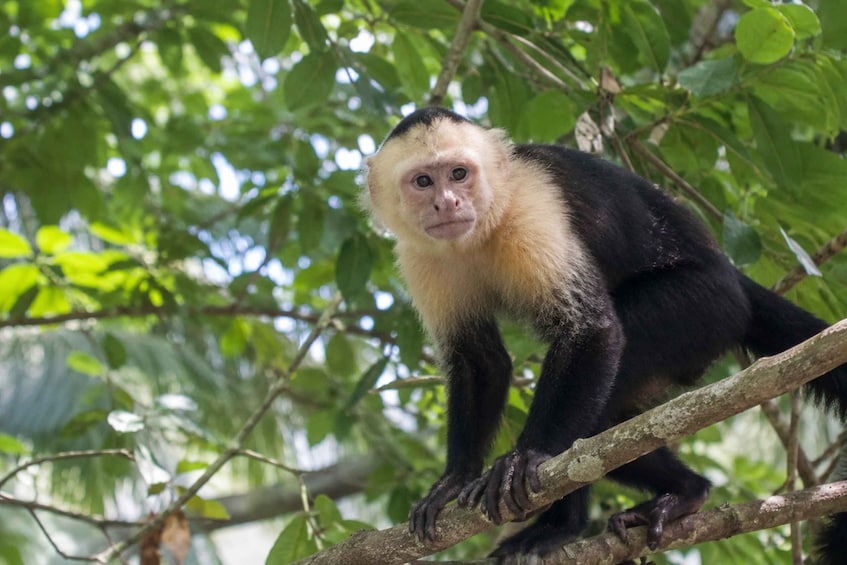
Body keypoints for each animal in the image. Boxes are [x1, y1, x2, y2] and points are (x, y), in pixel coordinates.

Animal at [363, 106, 847, 563]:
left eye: (459, 174)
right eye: (424, 181)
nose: (447, 203)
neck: (480, 229)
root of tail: (731, 277)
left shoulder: (531, 207)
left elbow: (590, 328)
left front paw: (527, 456)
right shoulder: (419, 256)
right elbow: (477, 360)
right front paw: (454, 478)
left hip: (700, 306)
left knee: (598, 420)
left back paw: (574, 522)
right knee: (609, 425)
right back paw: (686, 490)